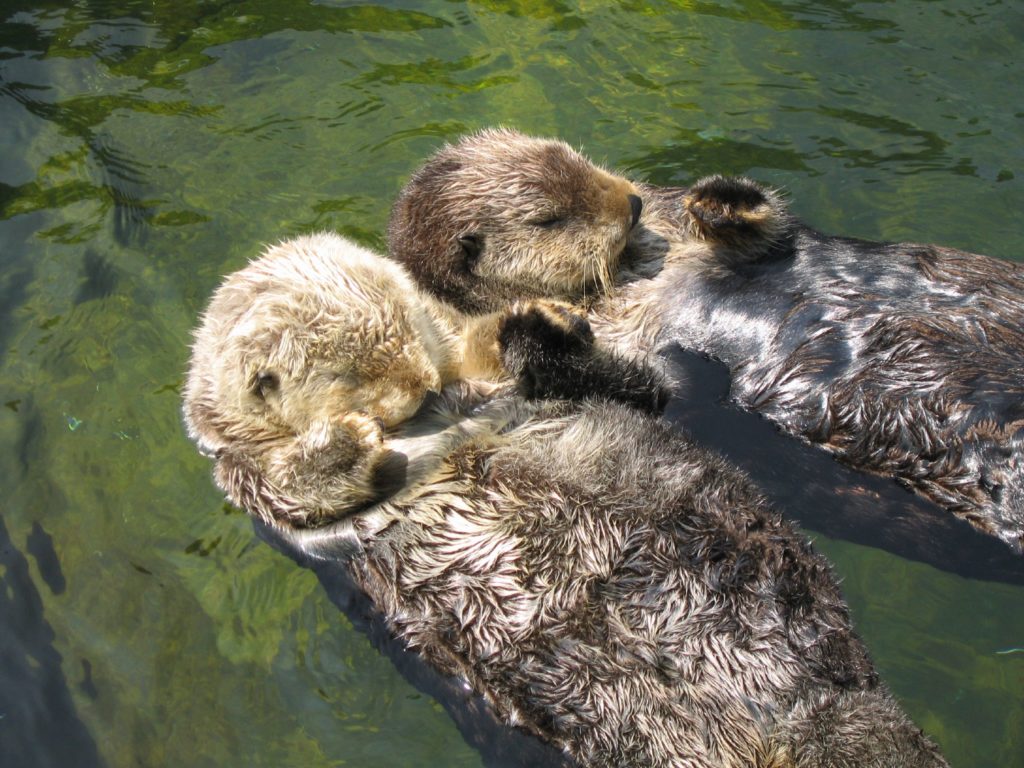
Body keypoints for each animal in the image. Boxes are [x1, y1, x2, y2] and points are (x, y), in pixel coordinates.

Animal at [183, 233, 945, 766]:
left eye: (412, 327)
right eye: (354, 374)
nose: (423, 384)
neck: (436, 416)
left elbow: (641, 386)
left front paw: (537, 323)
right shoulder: (260, 496)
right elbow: (296, 492)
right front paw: (343, 440)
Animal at [387, 128, 1024, 554]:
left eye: (576, 156)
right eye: (548, 219)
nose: (632, 202)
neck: (637, 269)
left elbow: (766, 232)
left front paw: (720, 199)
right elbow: (650, 389)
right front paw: (538, 328)